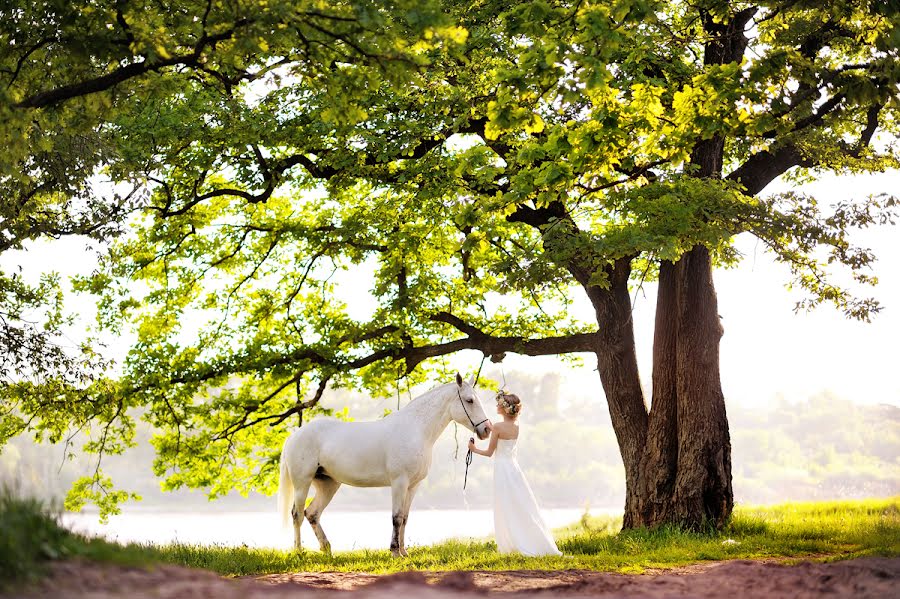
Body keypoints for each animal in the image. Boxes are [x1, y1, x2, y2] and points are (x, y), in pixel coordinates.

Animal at [280, 376, 492, 556]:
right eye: (469, 400)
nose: (487, 429)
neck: (415, 429)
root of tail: (295, 435)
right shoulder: (399, 482)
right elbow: (396, 517)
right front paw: (394, 552)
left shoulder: (413, 486)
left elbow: (405, 518)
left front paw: (404, 552)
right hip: (302, 483)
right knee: (297, 514)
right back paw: (299, 552)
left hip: (328, 484)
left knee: (312, 514)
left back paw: (327, 550)